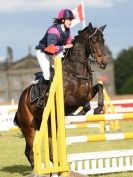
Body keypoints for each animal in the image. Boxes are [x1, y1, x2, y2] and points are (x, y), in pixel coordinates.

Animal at [14, 22, 108, 169]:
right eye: (93, 40)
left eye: (103, 40)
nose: (104, 62)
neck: (75, 71)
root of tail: (21, 100)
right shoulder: (67, 99)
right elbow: (85, 103)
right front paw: (80, 113)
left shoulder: (88, 93)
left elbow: (99, 87)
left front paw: (98, 108)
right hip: (29, 128)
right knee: (30, 151)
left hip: (48, 124)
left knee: (48, 152)